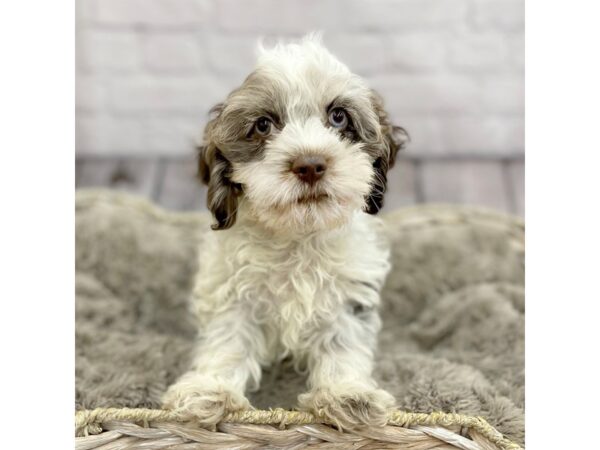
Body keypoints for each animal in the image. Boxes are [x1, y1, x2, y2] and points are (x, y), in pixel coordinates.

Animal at [163, 34, 408, 428]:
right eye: (263, 125)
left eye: (338, 116)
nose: (310, 165)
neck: (297, 236)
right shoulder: (233, 293)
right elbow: (227, 340)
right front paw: (211, 390)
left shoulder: (347, 298)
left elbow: (342, 343)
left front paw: (347, 394)